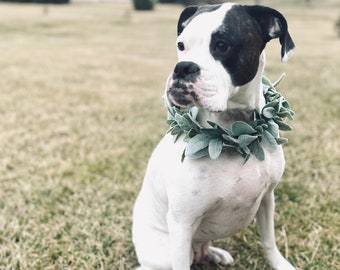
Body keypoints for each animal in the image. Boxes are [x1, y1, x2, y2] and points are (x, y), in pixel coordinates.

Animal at [132, 2, 294, 270]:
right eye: (181, 45)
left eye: (222, 45)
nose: (182, 67)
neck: (234, 134)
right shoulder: (182, 224)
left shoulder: (267, 199)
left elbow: (269, 240)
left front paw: (280, 264)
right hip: (166, 252)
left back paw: (216, 254)